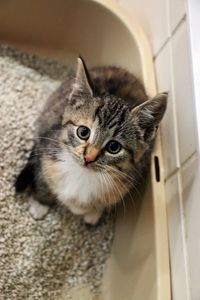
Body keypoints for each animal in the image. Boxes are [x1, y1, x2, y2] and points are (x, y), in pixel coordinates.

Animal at [15, 57, 167, 224]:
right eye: (83, 132)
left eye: (114, 147)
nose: (88, 158)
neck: (83, 174)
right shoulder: (47, 150)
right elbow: (43, 179)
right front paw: (41, 202)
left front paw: (94, 212)